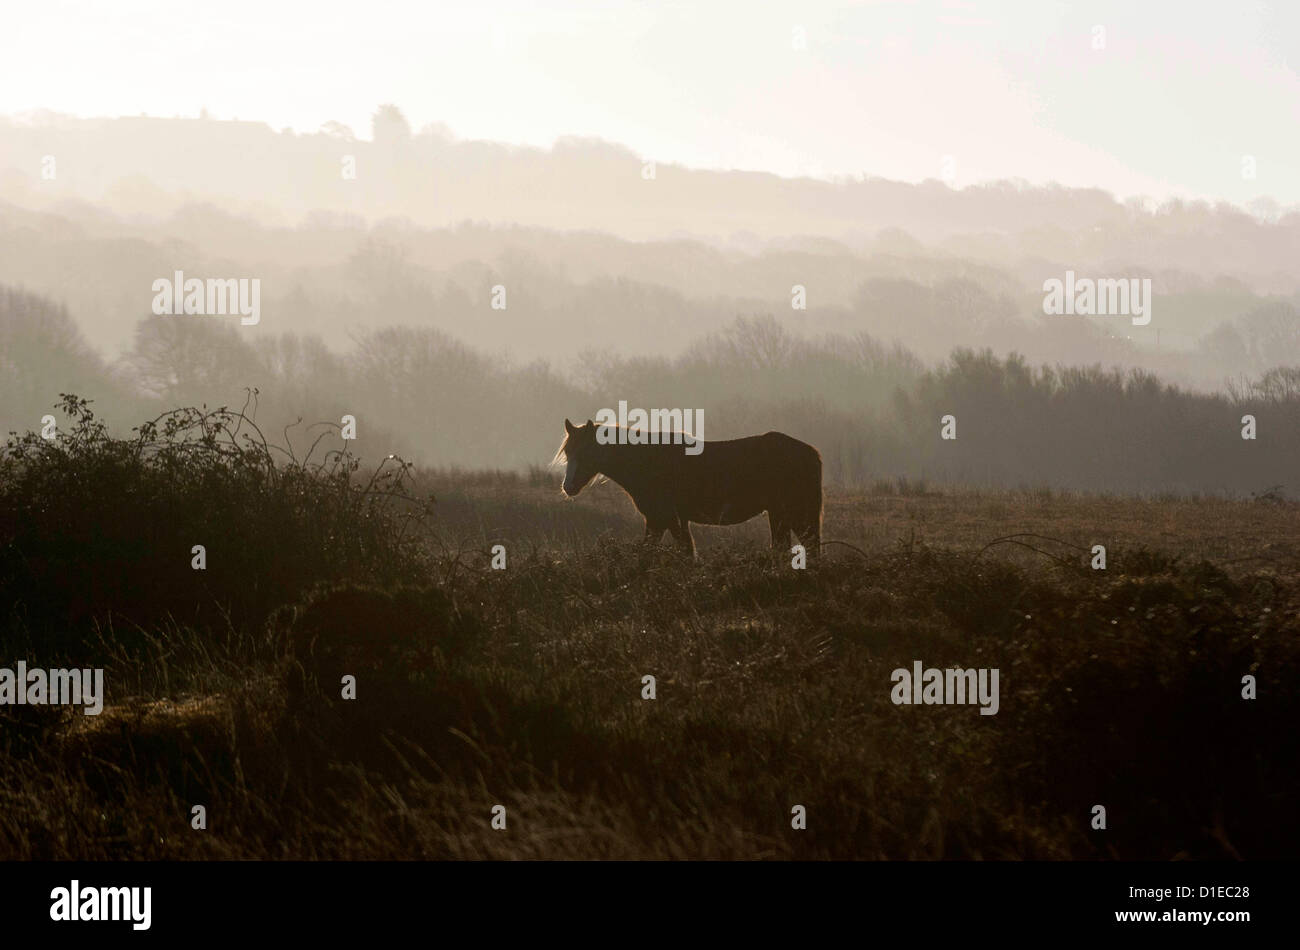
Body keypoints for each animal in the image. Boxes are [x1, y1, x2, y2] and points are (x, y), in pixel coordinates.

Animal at [551, 418, 816, 556]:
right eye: (568, 452)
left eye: (586, 453)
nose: (568, 487)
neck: (648, 462)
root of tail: (810, 451)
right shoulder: (665, 520)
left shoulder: (662, 519)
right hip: (779, 514)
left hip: (793, 513)